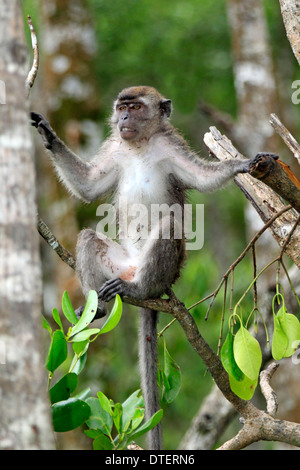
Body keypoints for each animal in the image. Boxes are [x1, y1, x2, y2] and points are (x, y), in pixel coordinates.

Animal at [30, 86, 276, 450]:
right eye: (122, 107)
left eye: (135, 107)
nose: (123, 118)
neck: (139, 145)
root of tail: (137, 271)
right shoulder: (116, 147)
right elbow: (88, 186)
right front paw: (47, 134)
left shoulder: (170, 145)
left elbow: (203, 178)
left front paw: (243, 163)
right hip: (119, 264)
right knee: (89, 237)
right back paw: (97, 308)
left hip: (166, 269)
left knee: (169, 226)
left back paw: (140, 289)